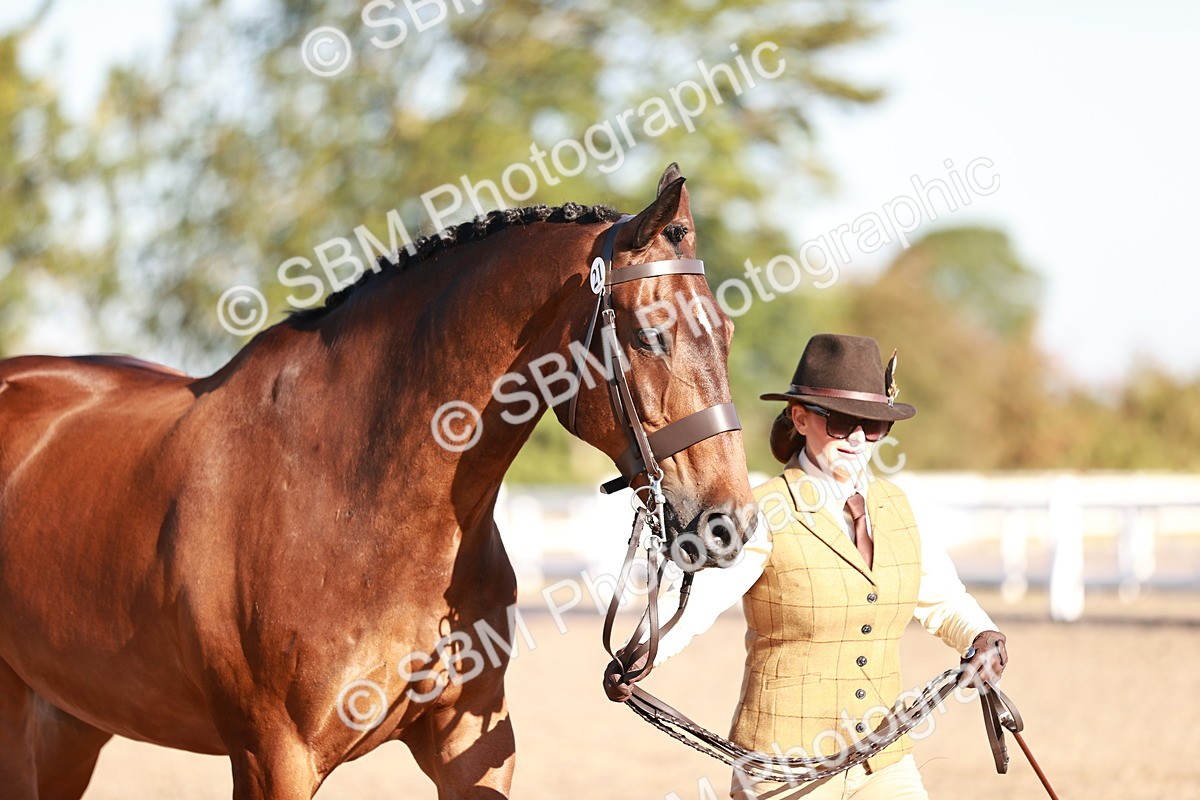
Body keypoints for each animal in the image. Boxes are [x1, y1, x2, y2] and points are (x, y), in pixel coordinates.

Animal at [0, 163, 757, 799]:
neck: (355, 497)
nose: (730, 523)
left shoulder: (472, 741)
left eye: (725, 333)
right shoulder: (274, 760)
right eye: (649, 334)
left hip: (70, 722)